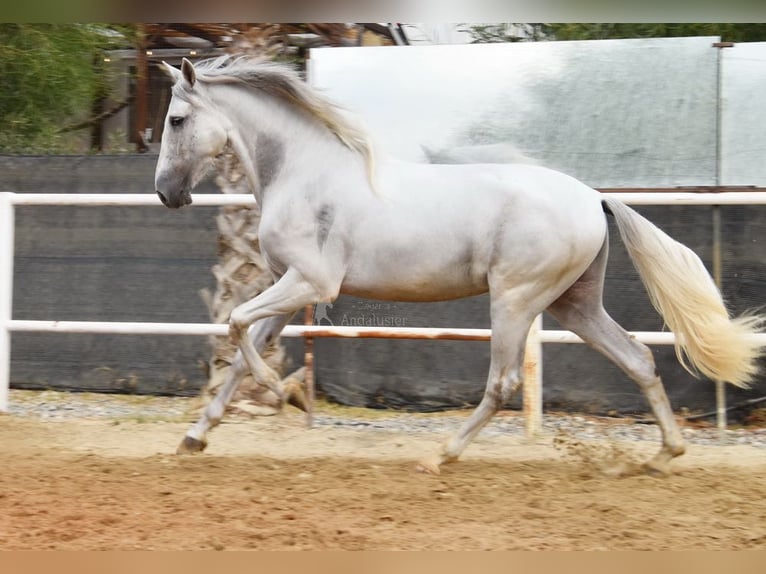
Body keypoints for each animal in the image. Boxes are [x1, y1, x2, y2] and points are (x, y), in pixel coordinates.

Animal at [155, 56, 764, 476]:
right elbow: (239, 353)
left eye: (177, 119)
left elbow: (236, 325)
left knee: (504, 381)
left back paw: (441, 455)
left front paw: (284, 393)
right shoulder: (290, 291)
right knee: (637, 358)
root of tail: (593, 198)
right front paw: (194, 438)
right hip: (574, 304)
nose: (166, 193)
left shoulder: (308, 282)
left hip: (515, 300)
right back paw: (663, 456)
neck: (306, 174)